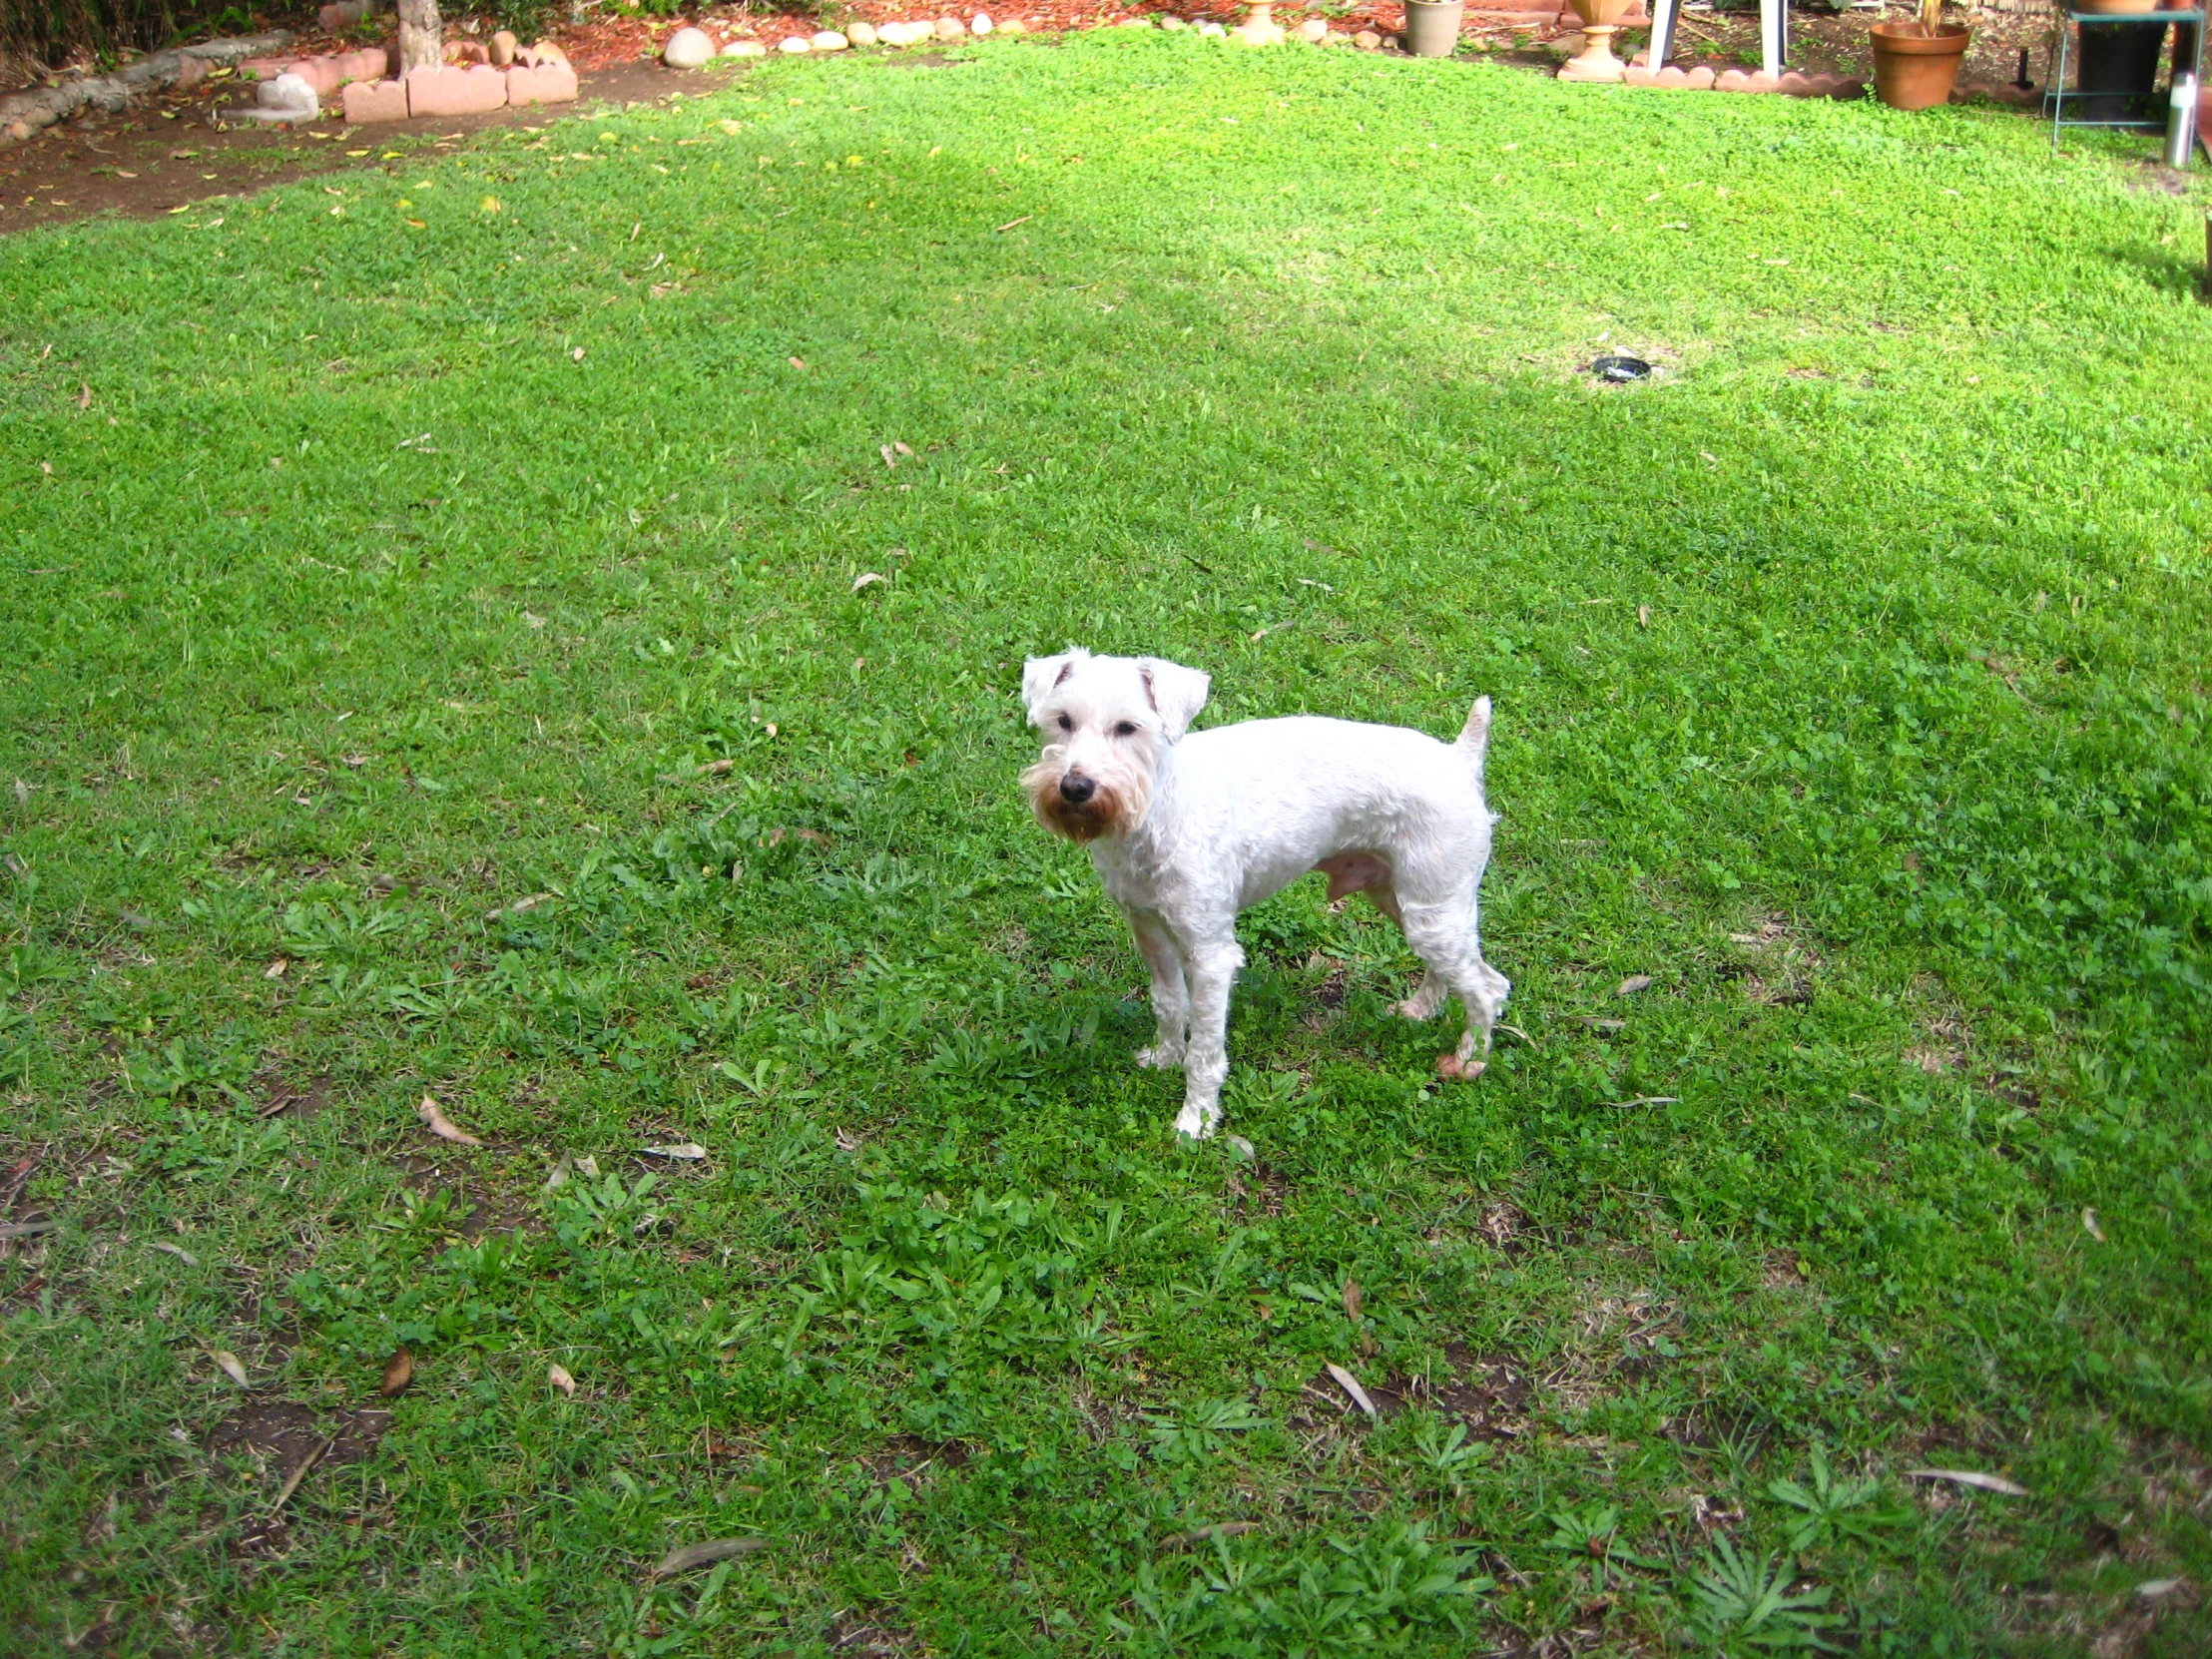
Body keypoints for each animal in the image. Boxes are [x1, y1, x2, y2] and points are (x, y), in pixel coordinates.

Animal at [1012, 650, 1503, 1141]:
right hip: (1407, 901)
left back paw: (1467, 1061)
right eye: (1063, 720)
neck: (1157, 807)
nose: (1075, 787)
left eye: (1128, 727)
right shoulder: (1149, 930)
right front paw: (1164, 1057)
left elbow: (1205, 1049)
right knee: (1452, 971)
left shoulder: (1211, 955)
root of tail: (1460, 759)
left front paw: (1197, 1120)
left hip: (1432, 909)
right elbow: (1168, 1003)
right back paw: (1419, 1011)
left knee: (1489, 987)